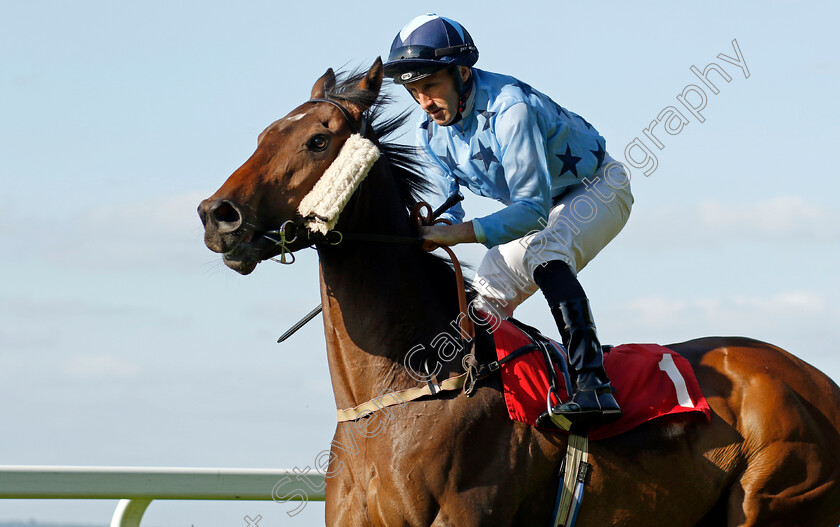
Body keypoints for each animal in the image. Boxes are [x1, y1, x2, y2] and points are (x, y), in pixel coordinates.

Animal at [199, 58, 840, 527]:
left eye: (317, 140)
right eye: (264, 135)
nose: (217, 215)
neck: (408, 384)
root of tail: (819, 383)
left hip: (779, 498)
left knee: (547, 256)